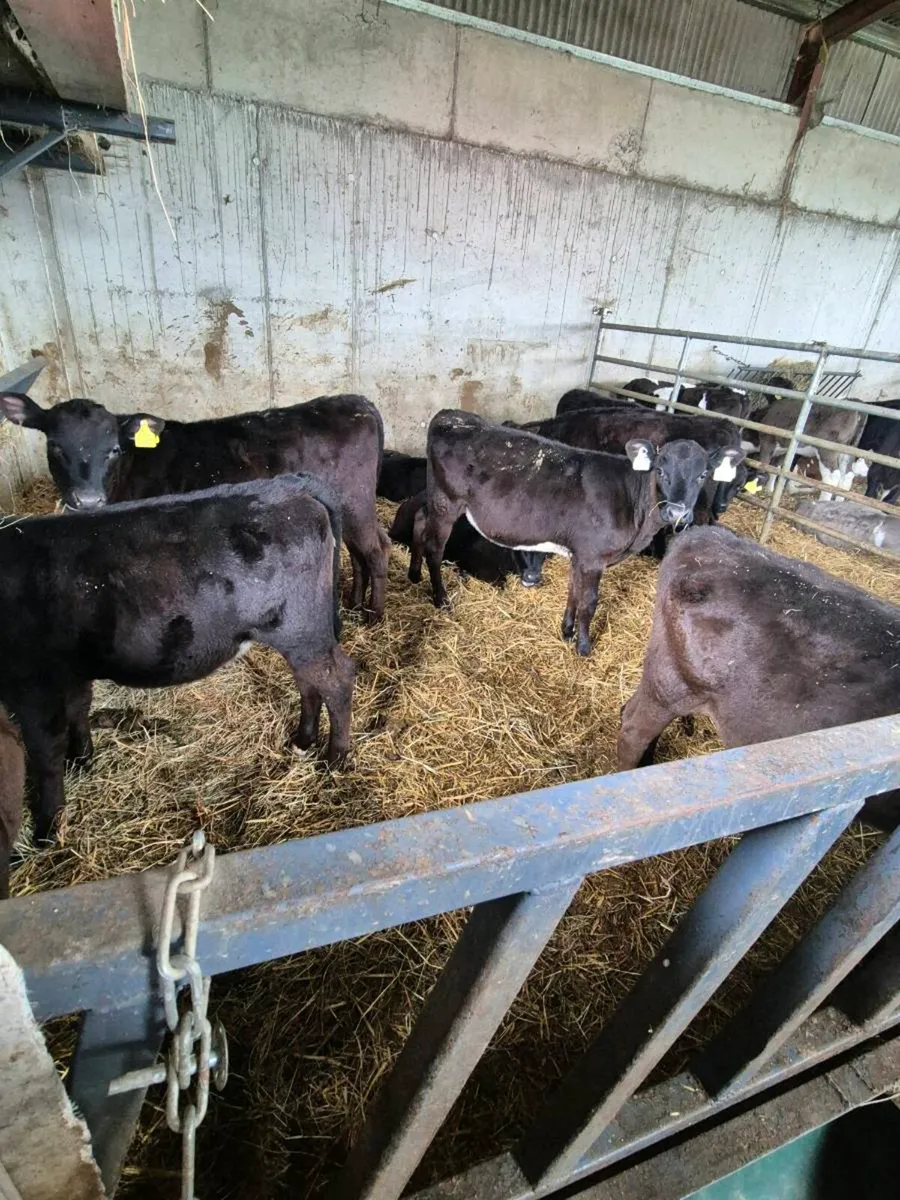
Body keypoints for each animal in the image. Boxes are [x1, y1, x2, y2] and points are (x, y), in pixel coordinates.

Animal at [0, 391, 391, 621]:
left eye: (113, 449)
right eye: (55, 446)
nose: (87, 500)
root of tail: (355, 402)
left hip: (355, 502)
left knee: (375, 549)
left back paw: (374, 613)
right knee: (361, 550)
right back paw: (355, 601)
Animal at [0, 475, 355, 845]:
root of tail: (289, 488)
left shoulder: (32, 684)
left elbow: (45, 754)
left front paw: (47, 829)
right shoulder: (69, 671)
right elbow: (78, 710)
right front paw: (82, 759)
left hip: (301, 630)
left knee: (338, 680)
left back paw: (335, 760)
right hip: (299, 636)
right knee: (309, 682)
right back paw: (303, 740)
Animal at [410, 410, 743, 656]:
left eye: (703, 474)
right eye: (660, 470)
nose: (677, 513)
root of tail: (451, 415)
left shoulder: (580, 554)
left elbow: (574, 590)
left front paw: (567, 631)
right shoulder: (594, 557)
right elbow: (590, 601)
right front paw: (584, 646)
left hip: (435, 499)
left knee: (419, 518)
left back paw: (413, 574)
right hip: (447, 502)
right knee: (435, 546)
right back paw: (440, 598)